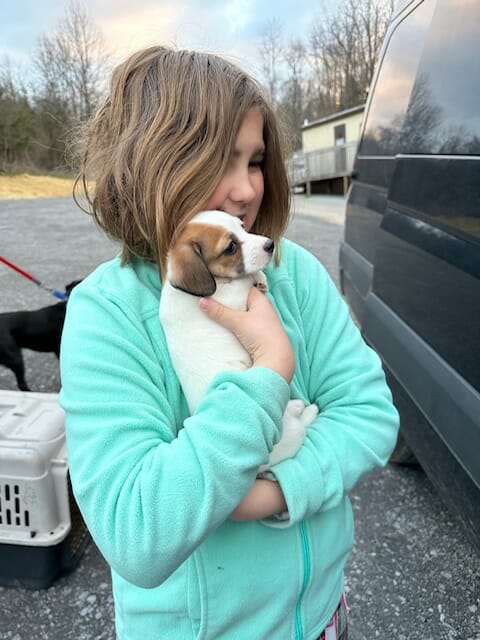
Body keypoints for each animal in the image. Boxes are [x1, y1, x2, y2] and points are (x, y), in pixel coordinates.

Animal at [160, 210, 318, 470]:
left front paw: (261, 278)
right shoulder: (231, 296)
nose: (270, 244)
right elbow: (243, 281)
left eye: (242, 226)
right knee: (301, 425)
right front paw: (255, 278)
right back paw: (308, 411)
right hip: (293, 434)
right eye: (231, 247)